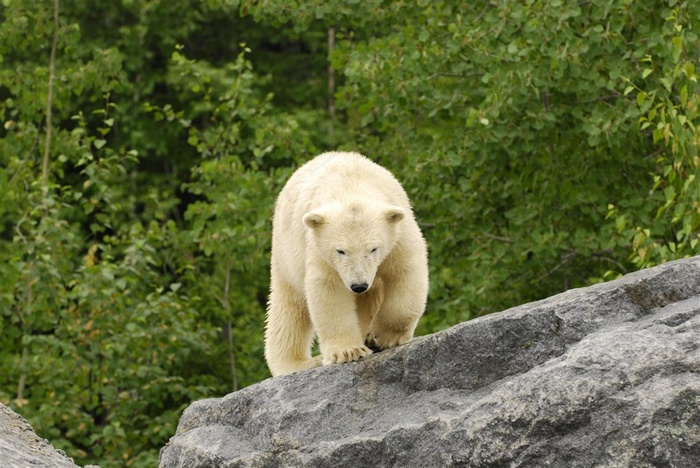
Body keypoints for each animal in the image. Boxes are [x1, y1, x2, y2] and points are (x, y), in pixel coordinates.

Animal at [266, 152, 430, 378]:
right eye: (341, 251)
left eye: (373, 249)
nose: (358, 285)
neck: (351, 185)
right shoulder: (320, 248)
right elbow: (329, 289)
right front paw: (348, 351)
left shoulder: (398, 234)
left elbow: (405, 271)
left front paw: (382, 337)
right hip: (286, 255)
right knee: (289, 307)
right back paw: (297, 363)